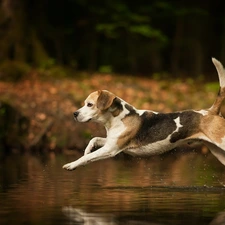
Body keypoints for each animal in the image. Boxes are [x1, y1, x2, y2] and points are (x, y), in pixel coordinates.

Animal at [62, 58, 225, 171]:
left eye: (89, 104)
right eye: (85, 103)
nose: (74, 114)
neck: (118, 118)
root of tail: (211, 111)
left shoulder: (111, 149)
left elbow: (89, 157)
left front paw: (72, 164)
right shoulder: (111, 142)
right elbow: (93, 140)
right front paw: (86, 150)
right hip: (218, 152)